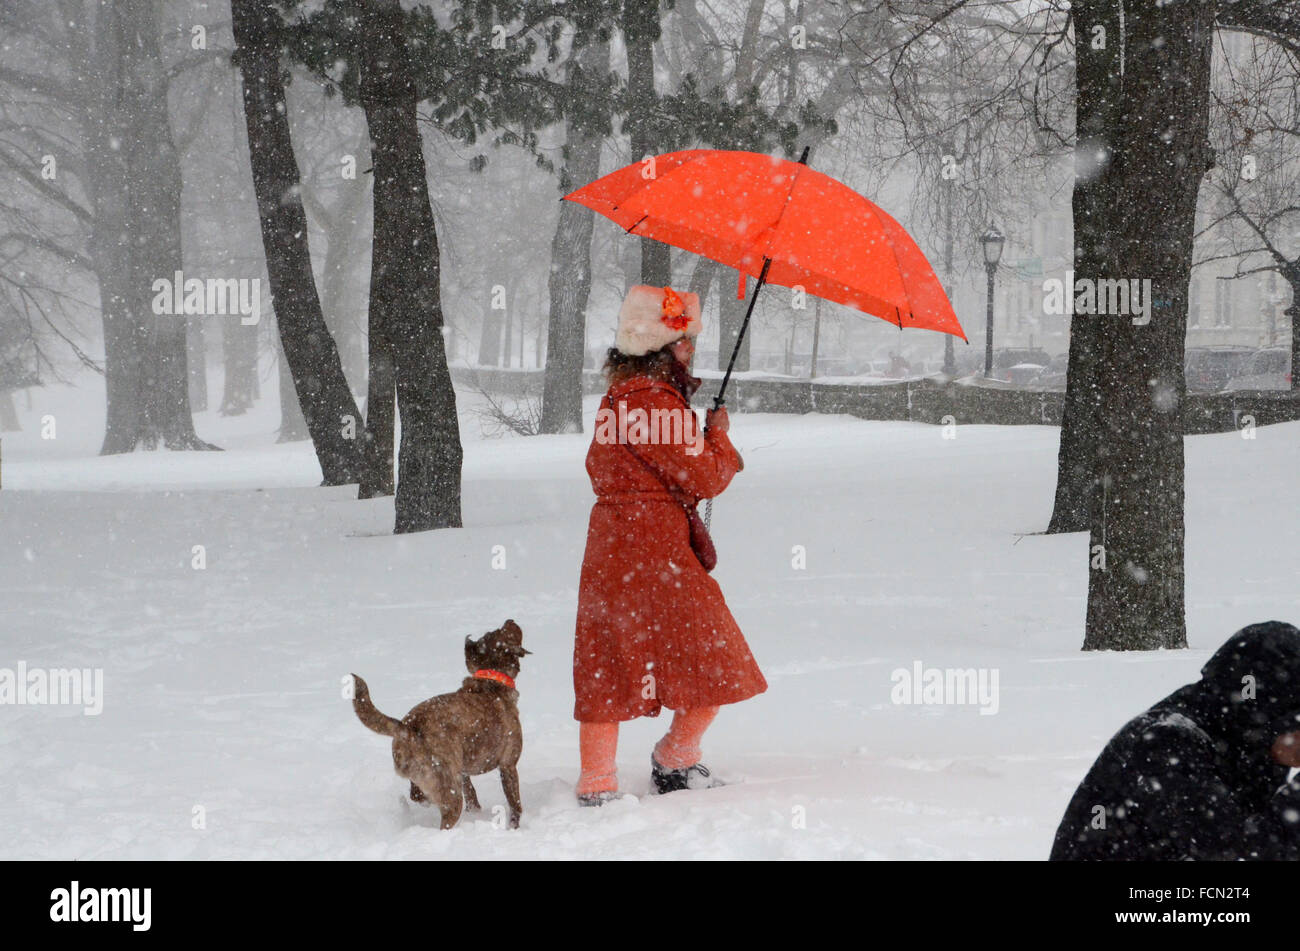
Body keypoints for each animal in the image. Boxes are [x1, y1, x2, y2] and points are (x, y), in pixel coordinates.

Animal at [351, 621, 527, 826]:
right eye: (505, 632)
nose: (510, 620)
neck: (489, 679)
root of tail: (407, 729)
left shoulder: (462, 771)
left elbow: (471, 793)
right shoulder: (508, 765)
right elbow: (515, 804)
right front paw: (514, 827)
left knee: (416, 795)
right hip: (450, 792)